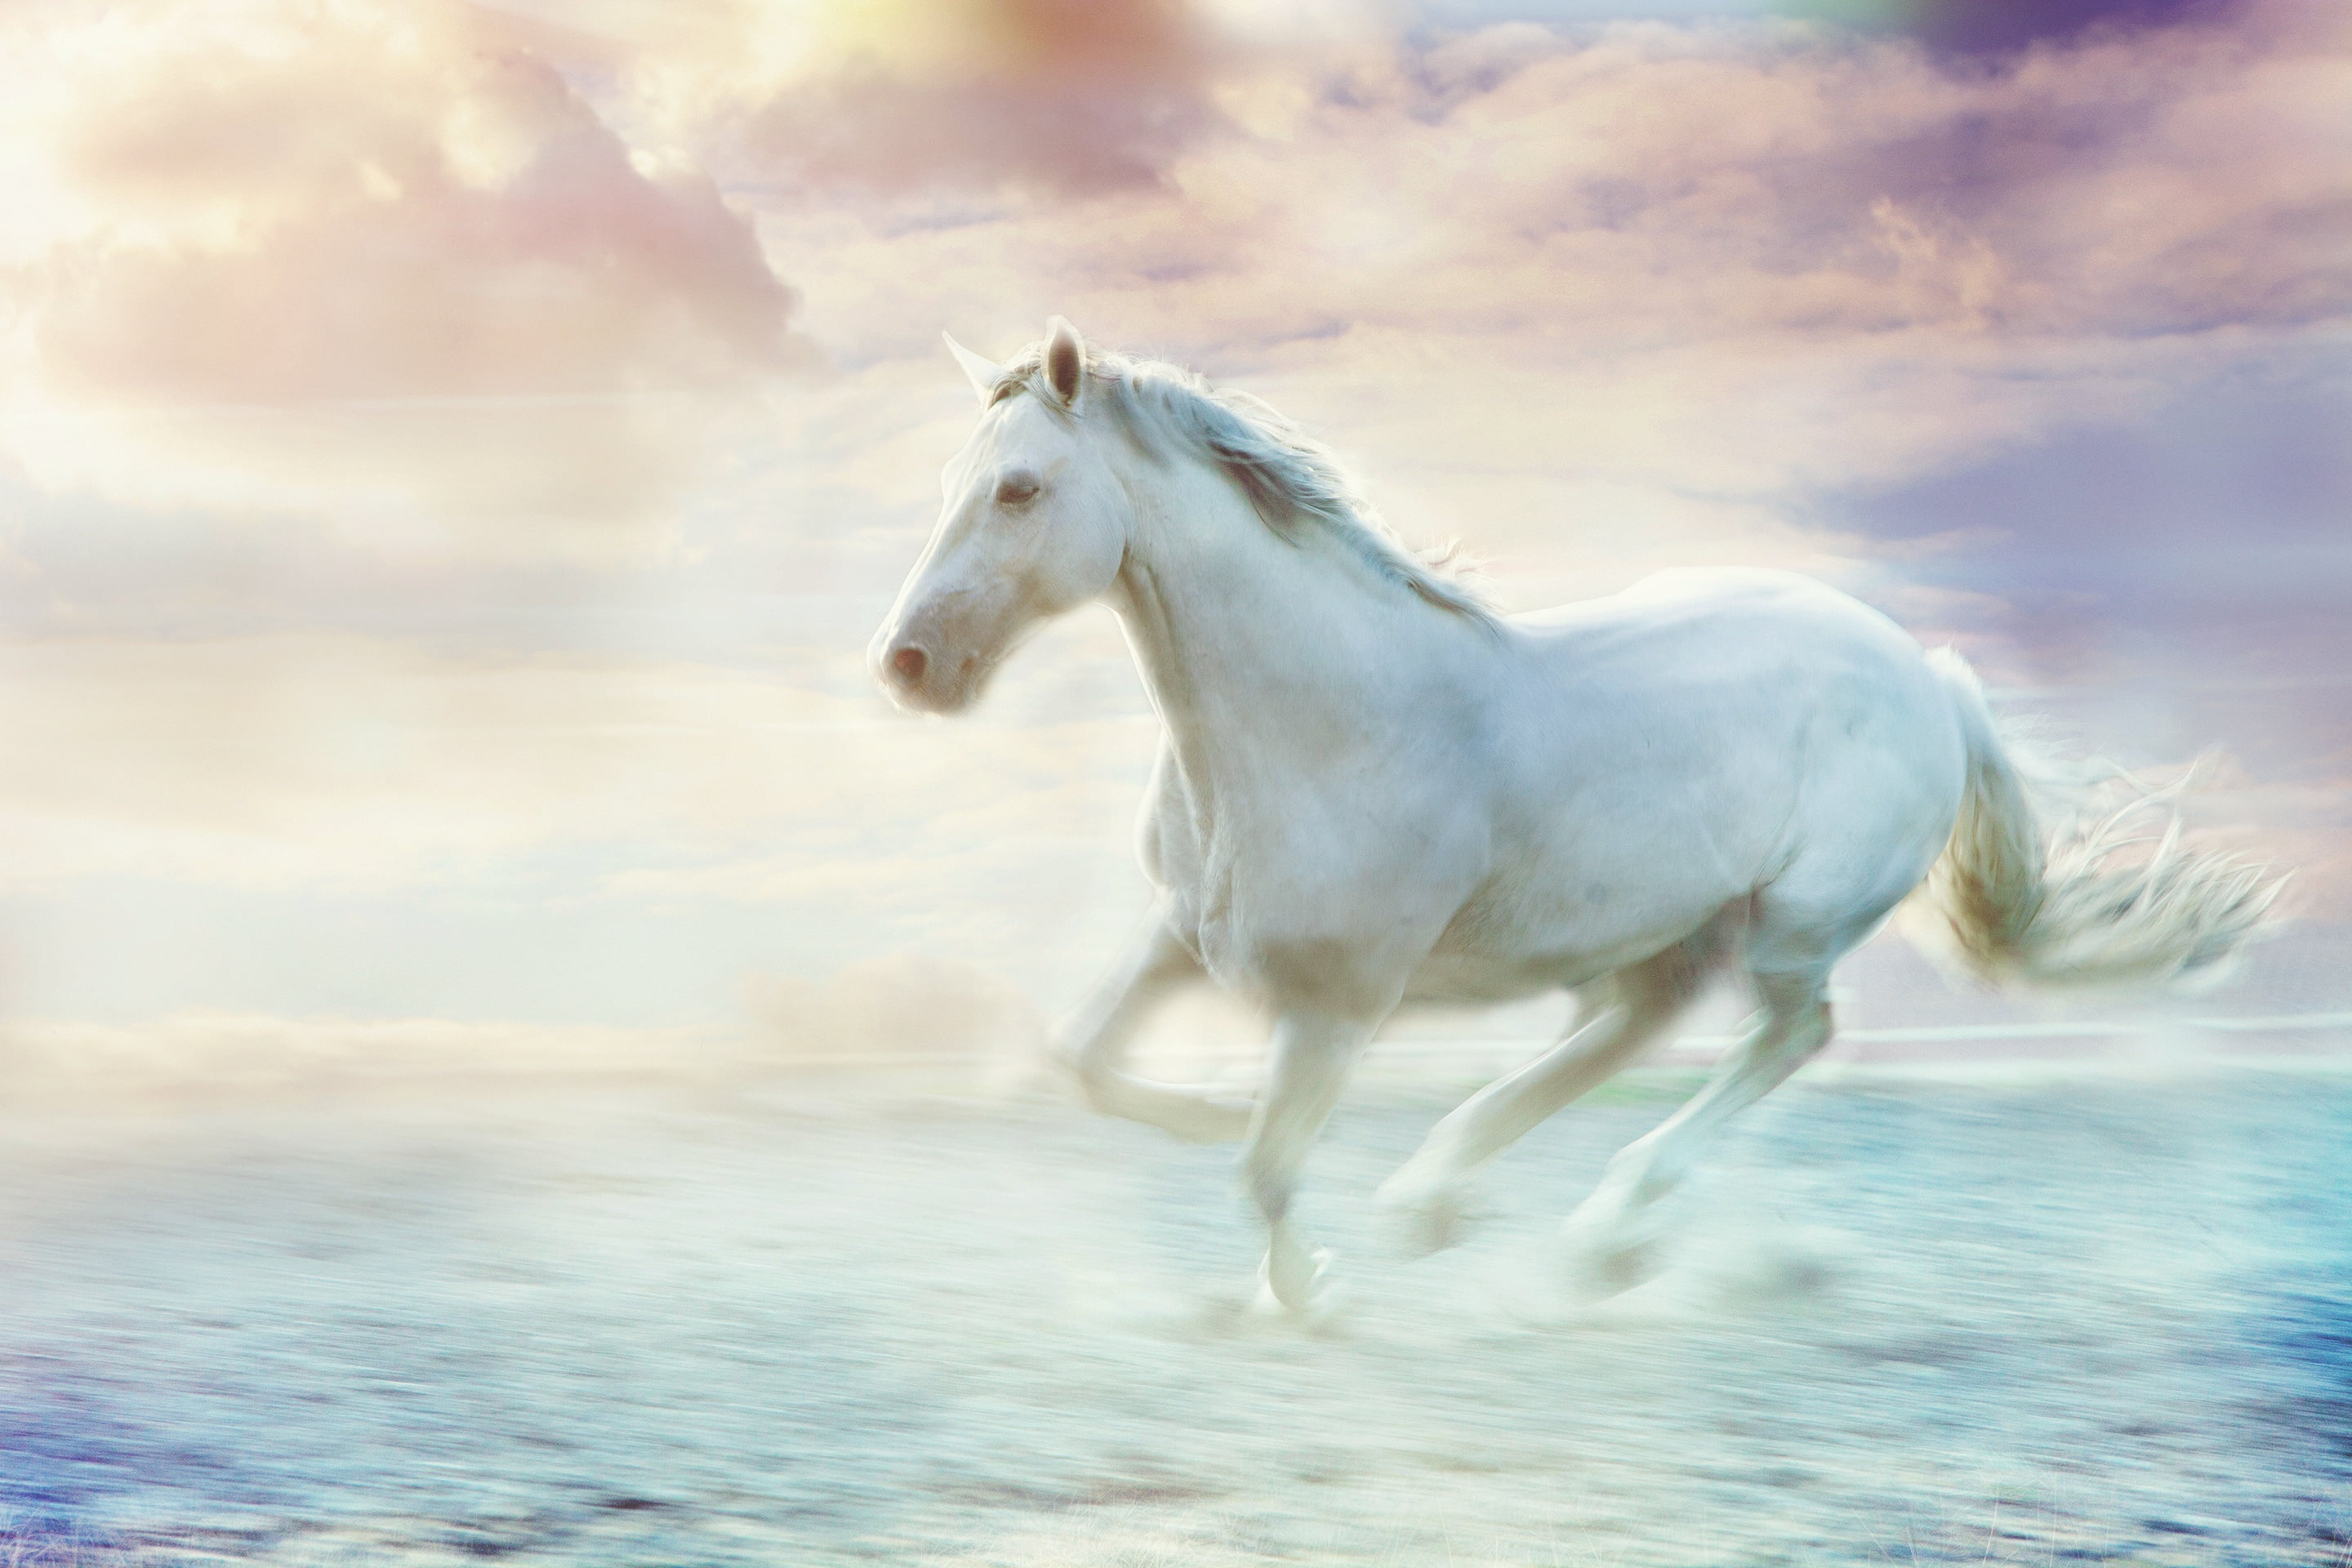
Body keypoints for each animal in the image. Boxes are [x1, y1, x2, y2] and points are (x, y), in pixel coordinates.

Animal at [870, 317, 2278, 1313]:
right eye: (950, 479)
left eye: (1019, 490)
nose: (908, 664)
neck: (1322, 721)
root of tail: (1928, 676)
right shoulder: (1185, 936)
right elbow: (1083, 1061)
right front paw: (1224, 1121)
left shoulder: (1340, 1001)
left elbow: (1264, 1171)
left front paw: (1310, 1294)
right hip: (1671, 927)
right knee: (1630, 1032)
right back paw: (1442, 1201)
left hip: (1789, 924)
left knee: (1787, 1037)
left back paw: (1602, 1233)